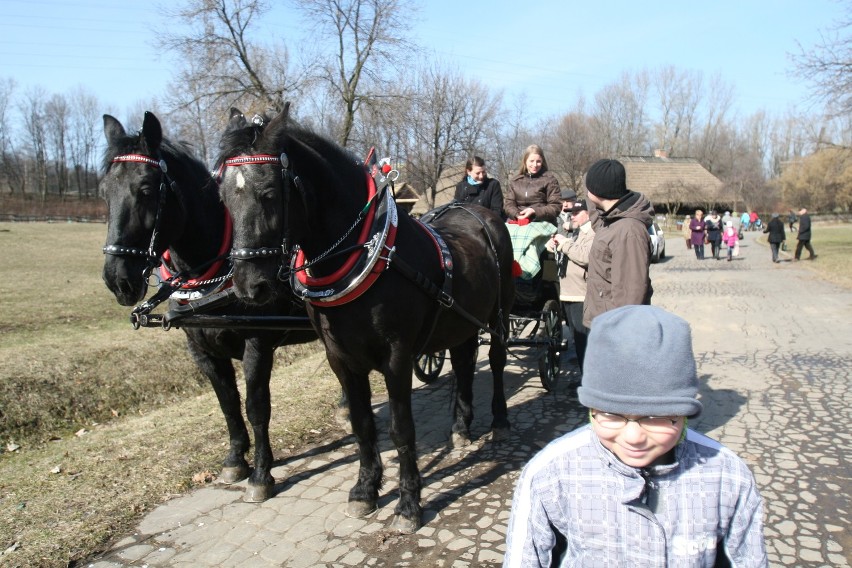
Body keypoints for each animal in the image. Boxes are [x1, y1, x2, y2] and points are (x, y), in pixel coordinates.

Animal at [100, 111, 312, 502]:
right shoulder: (202, 351)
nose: (117, 279)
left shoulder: (257, 346)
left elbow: (256, 407)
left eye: (146, 190)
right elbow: (227, 403)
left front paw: (261, 474)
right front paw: (234, 461)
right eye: (105, 192)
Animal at [216, 105, 516, 532]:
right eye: (223, 198)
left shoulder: (397, 356)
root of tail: (475, 212)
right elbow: (361, 424)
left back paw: (500, 421)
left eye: (269, 193)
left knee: (496, 359)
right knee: (462, 363)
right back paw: (460, 428)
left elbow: (400, 429)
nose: (247, 286)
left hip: (498, 314)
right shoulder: (339, 358)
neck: (365, 255)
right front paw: (365, 489)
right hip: (462, 322)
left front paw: (409, 504)